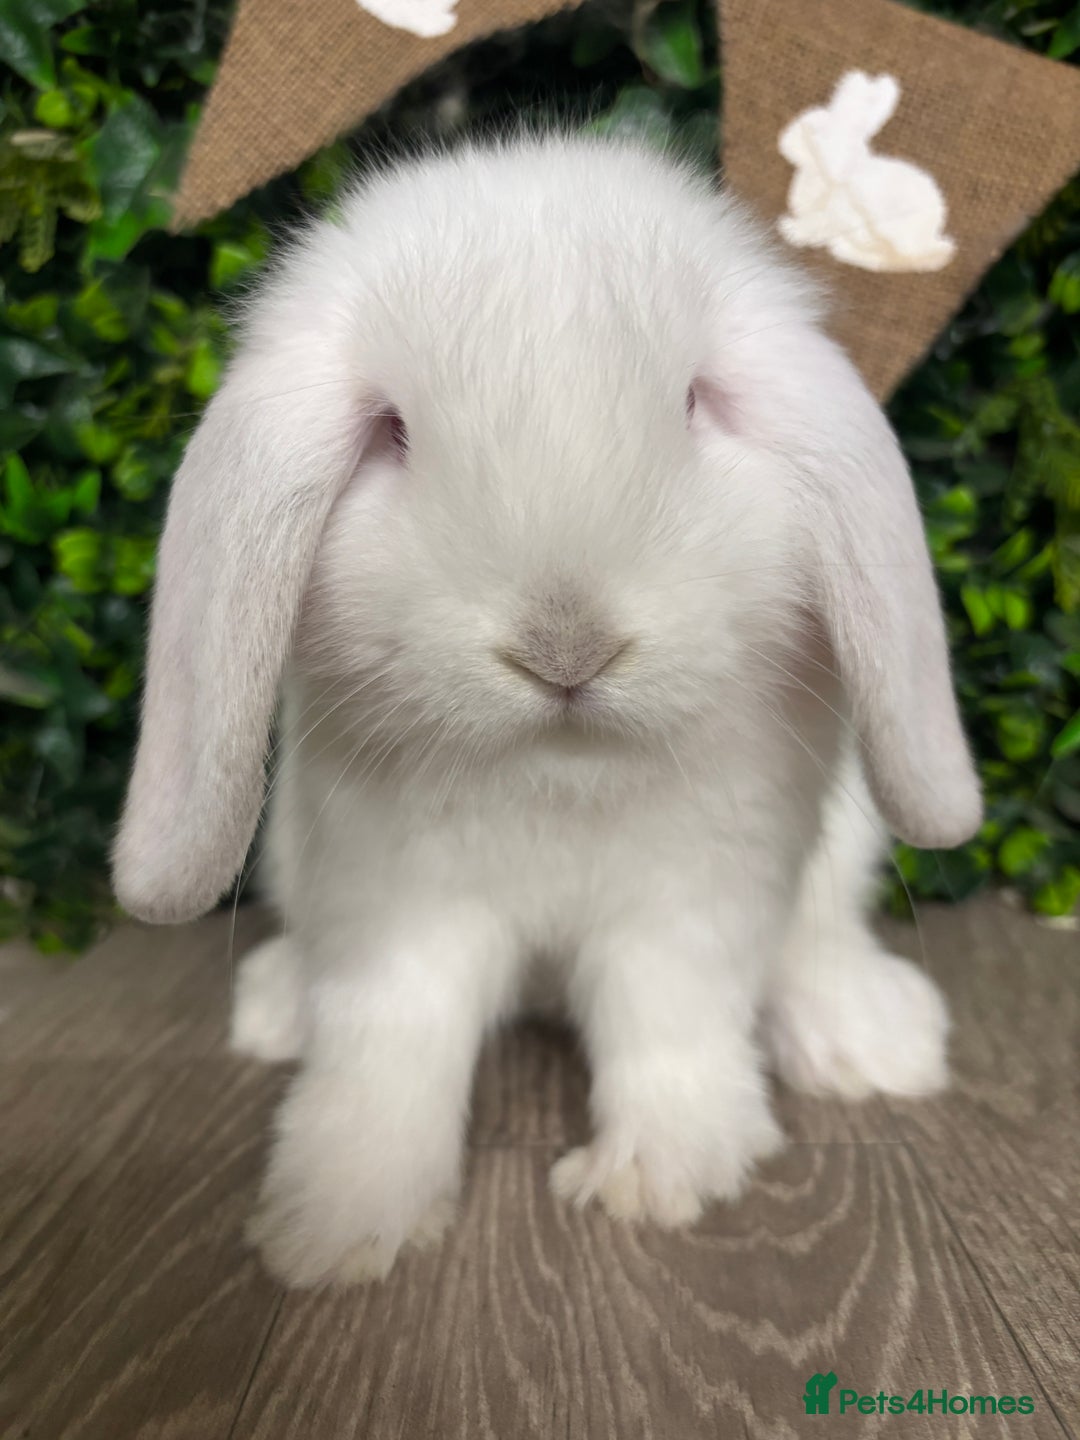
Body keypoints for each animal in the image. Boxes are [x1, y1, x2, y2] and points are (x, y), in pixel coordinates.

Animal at [113, 134, 981, 1288]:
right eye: (391, 432)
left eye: (693, 404)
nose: (565, 650)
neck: (558, 772)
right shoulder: (394, 912)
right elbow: (389, 1049)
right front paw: (337, 1223)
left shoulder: (691, 903)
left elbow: (673, 1027)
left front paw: (659, 1176)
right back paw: (273, 1010)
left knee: (817, 945)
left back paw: (871, 1043)